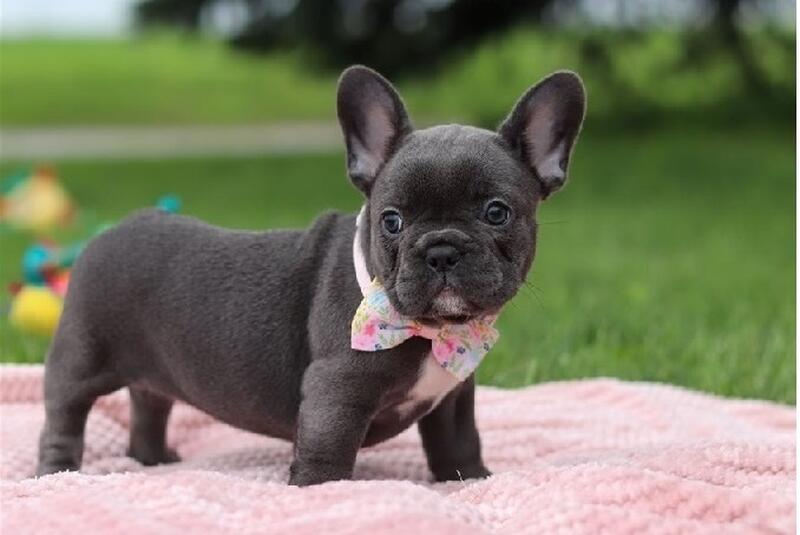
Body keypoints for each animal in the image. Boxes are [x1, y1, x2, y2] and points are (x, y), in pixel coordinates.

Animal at [36, 66, 585, 486]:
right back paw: (58, 474)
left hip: (155, 369)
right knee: (64, 415)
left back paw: (153, 461)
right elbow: (327, 453)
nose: (442, 250)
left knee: (150, 401)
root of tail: (114, 228)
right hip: (81, 357)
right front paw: (319, 495)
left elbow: (459, 443)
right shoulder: (335, 390)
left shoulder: (451, 398)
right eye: (391, 221)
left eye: (497, 213)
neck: (431, 331)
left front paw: (473, 480)